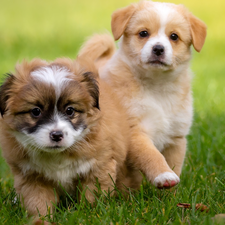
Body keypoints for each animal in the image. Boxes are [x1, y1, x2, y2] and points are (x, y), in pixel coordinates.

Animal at [0, 57, 142, 215]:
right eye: (36, 111)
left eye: (70, 110)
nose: (57, 135)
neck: (57, 156)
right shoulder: (32, 177)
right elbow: (38, 203)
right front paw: (41, 218)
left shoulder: (99, 168)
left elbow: (91, 198)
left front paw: (89, 213)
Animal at [78, 0, 207, 188]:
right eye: (143, 33)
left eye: (174, 36)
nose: (158, 49)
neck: (157, 88)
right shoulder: (134, 131)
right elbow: (151, 155)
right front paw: (163, 175)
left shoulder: (176, 138)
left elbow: (175, 166)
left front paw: (172, 192)